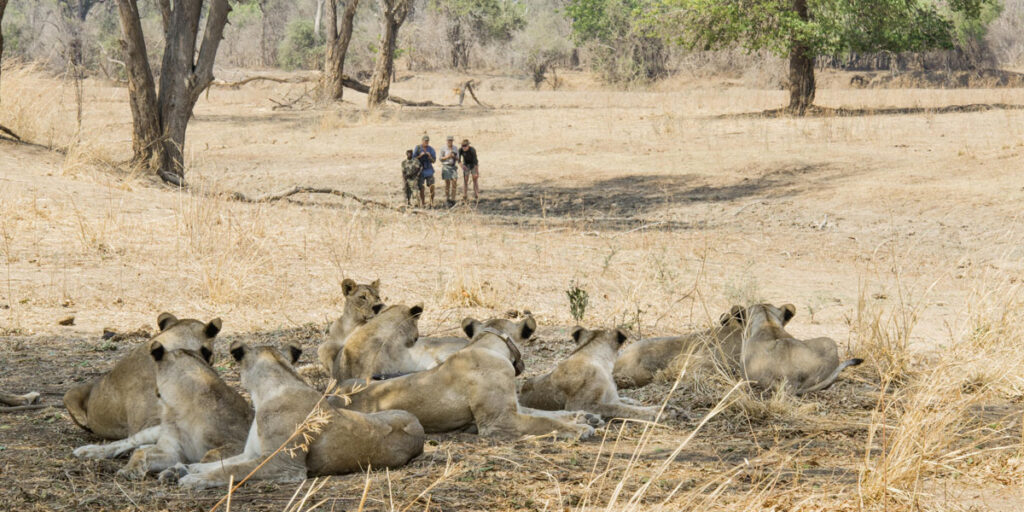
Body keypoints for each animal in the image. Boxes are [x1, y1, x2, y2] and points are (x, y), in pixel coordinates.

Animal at [73, 341, 252, 481]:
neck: (179, 408)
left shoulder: (238, 442)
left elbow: (209, 457)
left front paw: (177, 472)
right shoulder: (173, 450)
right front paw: (130, 470)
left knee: (139, 448)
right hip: (153, 431)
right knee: (129, 443)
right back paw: (87, 451)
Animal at [168, 342, 424, 489]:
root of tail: (420, 429)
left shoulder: (284, 466)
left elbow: (232, 470)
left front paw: (193, 480)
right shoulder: (253, 453)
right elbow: (222, 463)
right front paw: (189, 468)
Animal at [335, 316, 598, 440]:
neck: (489, 344)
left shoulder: (512, 407)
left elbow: (548, 413)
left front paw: (585, 416)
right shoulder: (498, 421)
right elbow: (545, 421)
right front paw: (580, 429)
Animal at [520, 327, 660, 421]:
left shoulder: (610, 397)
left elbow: (620, 403)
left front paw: (636, 402)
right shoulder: (578, 406)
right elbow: (618, 408)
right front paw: (654, 412)